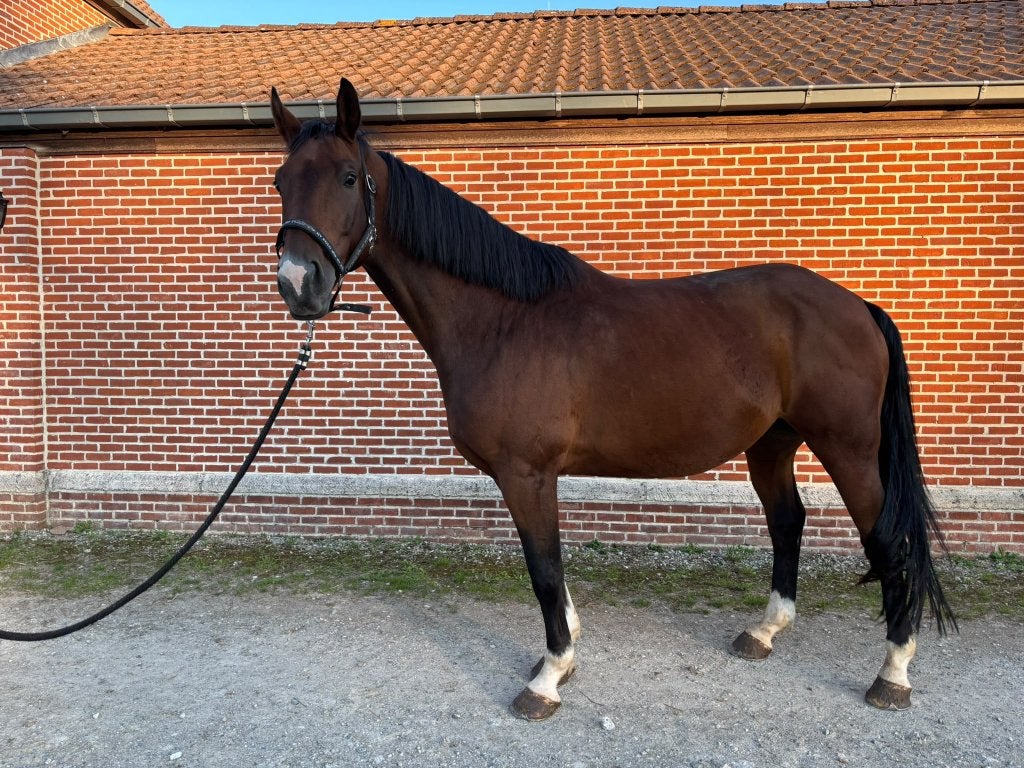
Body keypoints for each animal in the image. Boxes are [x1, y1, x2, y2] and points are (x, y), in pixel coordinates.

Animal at [268, 78, 956, 720]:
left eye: (349, 177)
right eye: (280, 183)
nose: (300, 285)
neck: (503, 320)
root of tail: (857, 305)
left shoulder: (525, 473)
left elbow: (543, 568)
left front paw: (548, 678)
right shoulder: (535, 476)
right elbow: (553, 567)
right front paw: (565, 654)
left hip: (848, 448)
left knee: (887, 540)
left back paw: (893, 673)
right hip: (772, 444)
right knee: (788, 522)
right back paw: (764, 631)